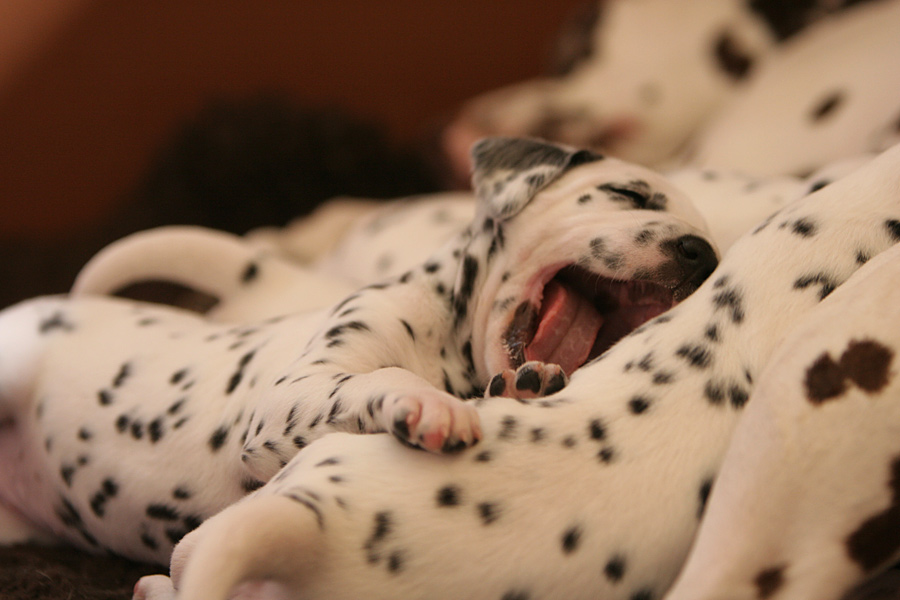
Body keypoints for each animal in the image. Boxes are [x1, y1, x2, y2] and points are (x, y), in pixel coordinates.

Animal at [0, 138, 716, 564]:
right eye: (629, 194)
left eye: (706, 240)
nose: (701, 254)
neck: (454, 353)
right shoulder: (291, 397)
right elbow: (380, 377)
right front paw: (427, 404)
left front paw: (531, 383)